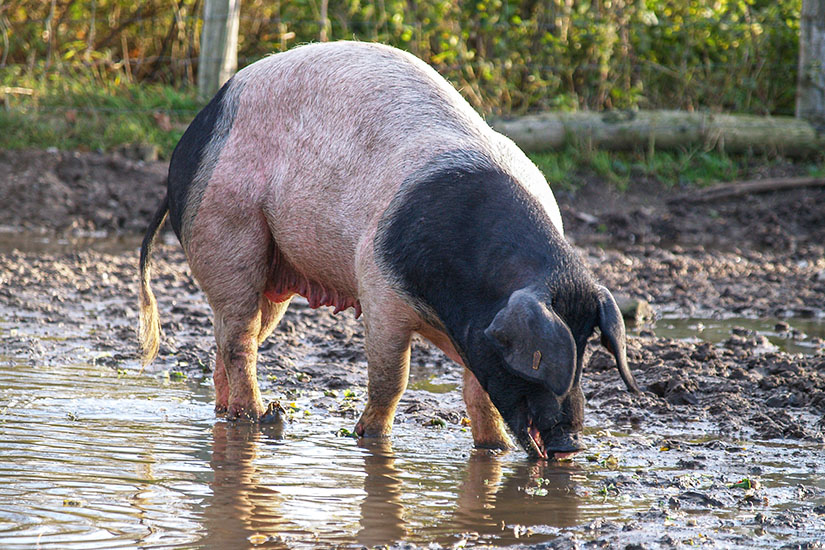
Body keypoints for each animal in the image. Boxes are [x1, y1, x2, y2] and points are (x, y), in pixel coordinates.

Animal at [138, 41, 640, 460]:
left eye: (586, 349)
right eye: (538, 361)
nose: (570, 445)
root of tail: (187, 145)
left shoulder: (475, 333)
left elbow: (478, 393)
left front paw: (493, 450)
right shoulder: (379, 290)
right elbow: (391, 381)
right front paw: (369, 439)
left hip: (273, 271)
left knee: (230, 342)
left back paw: (232, 414)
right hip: (226, 232)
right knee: (239, 341)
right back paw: (260, 418)